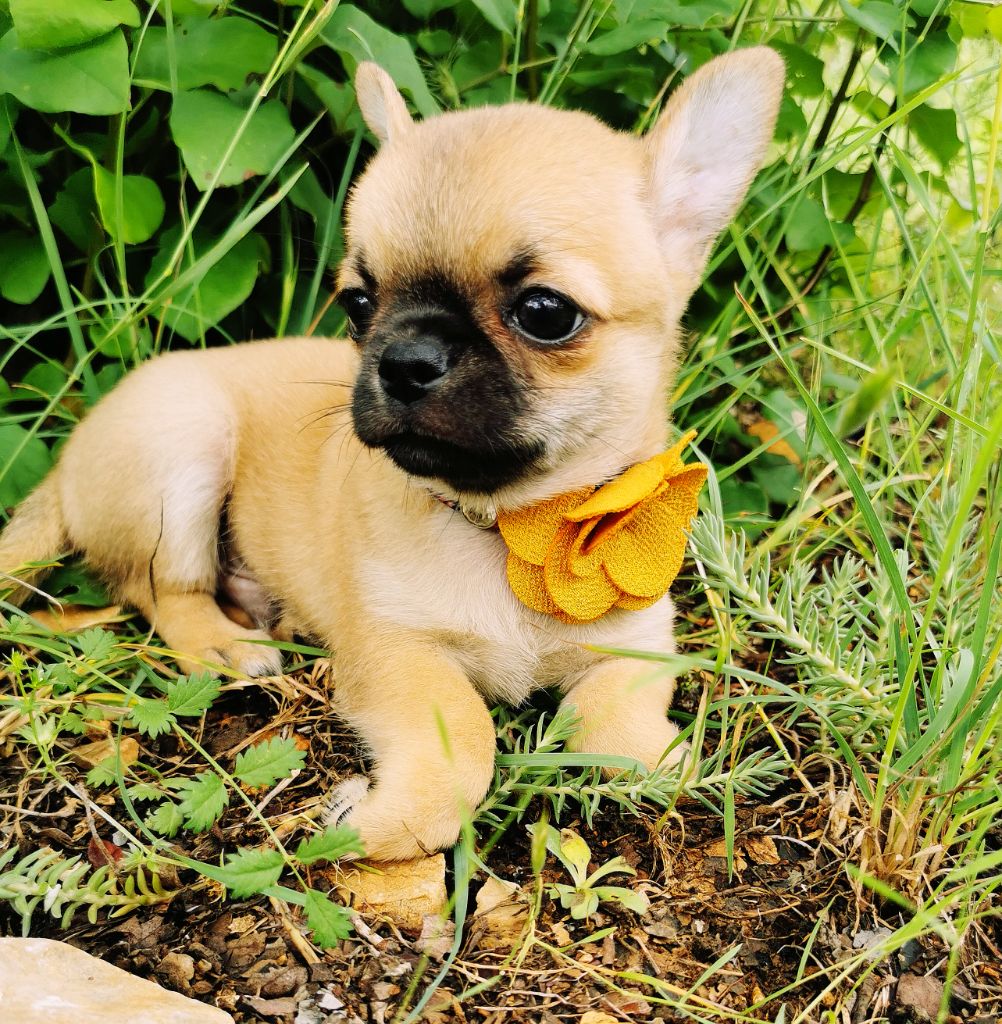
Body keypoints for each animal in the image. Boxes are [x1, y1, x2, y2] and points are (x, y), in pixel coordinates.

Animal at [0, 52, 783, 861]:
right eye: (358, 305)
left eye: (545, 314)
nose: (404, 359)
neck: (512, 531)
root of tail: (71, 456)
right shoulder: (397, 655)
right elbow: (464, 733)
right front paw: (388, 817)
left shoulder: (633, 651)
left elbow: (619, 731)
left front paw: (671, 761)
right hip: (183, 443)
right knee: (164, 592)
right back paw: (224, 645)